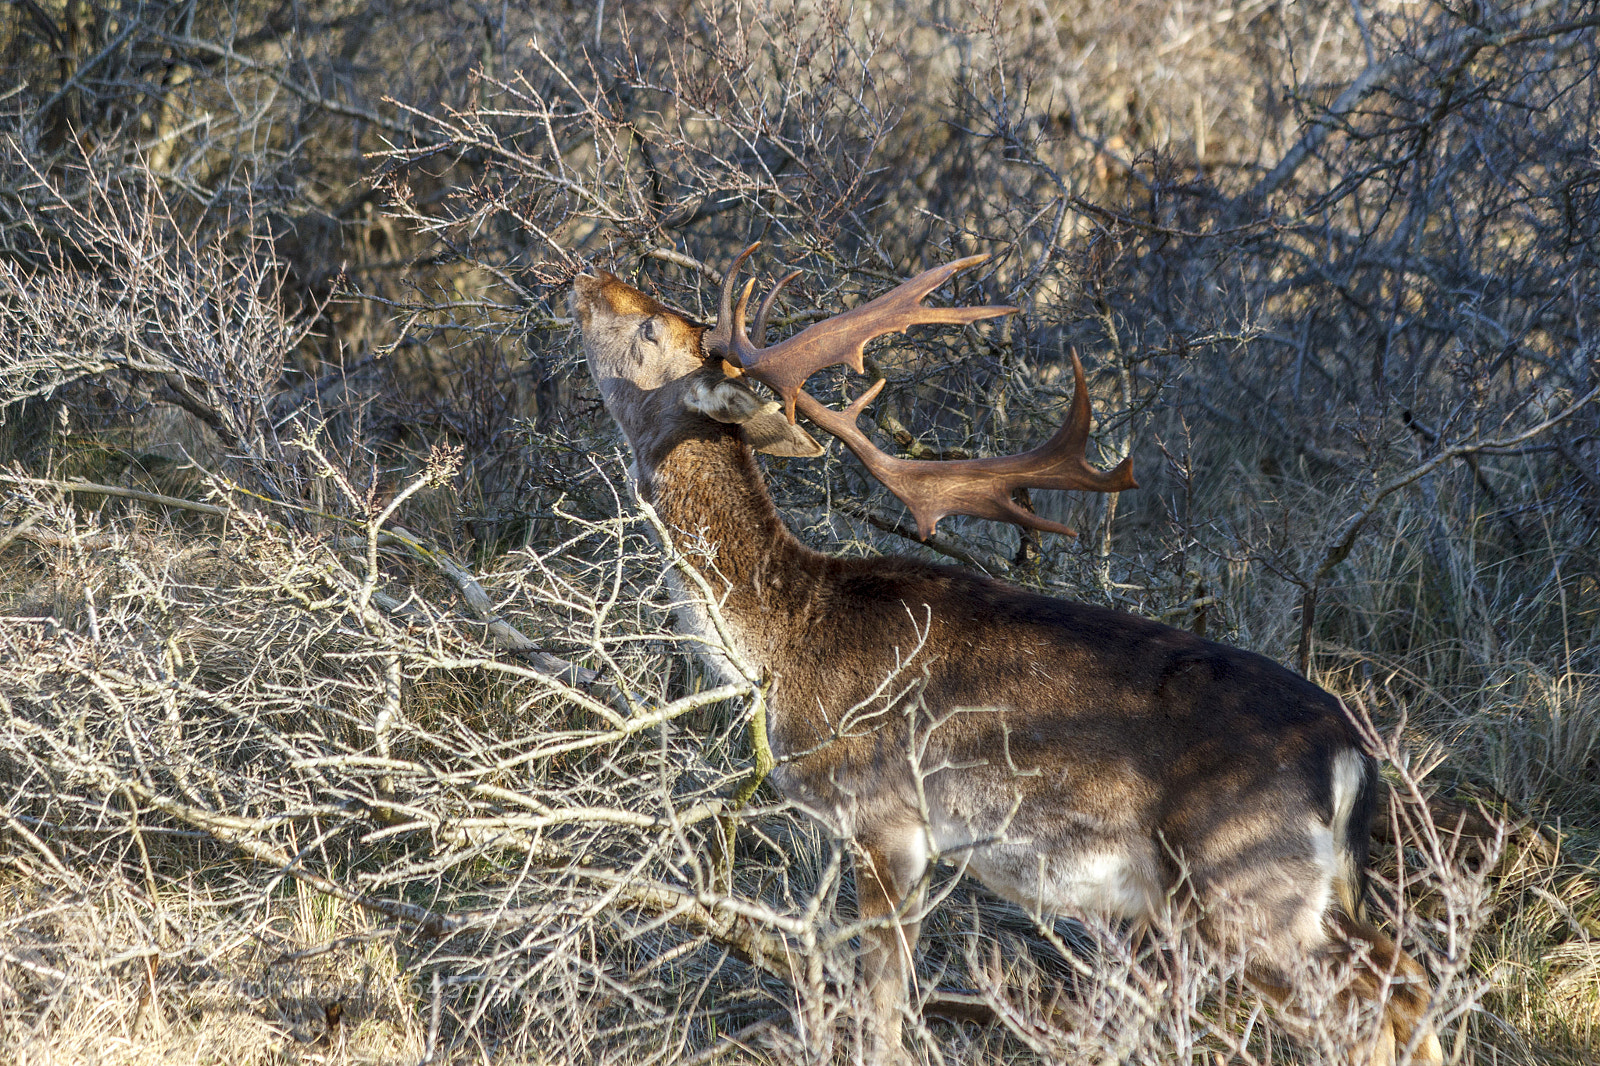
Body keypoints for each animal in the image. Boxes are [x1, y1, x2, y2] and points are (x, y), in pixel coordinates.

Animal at [569, 245, 1442, 1066]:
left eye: (653, 331)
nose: (587, 278)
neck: (782, 644)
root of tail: (1350, 752)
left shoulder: (887, 819)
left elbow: (882, 1011)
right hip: (1297, 892)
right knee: (1410, 979)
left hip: (1242, 882)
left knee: (1371, 1005)